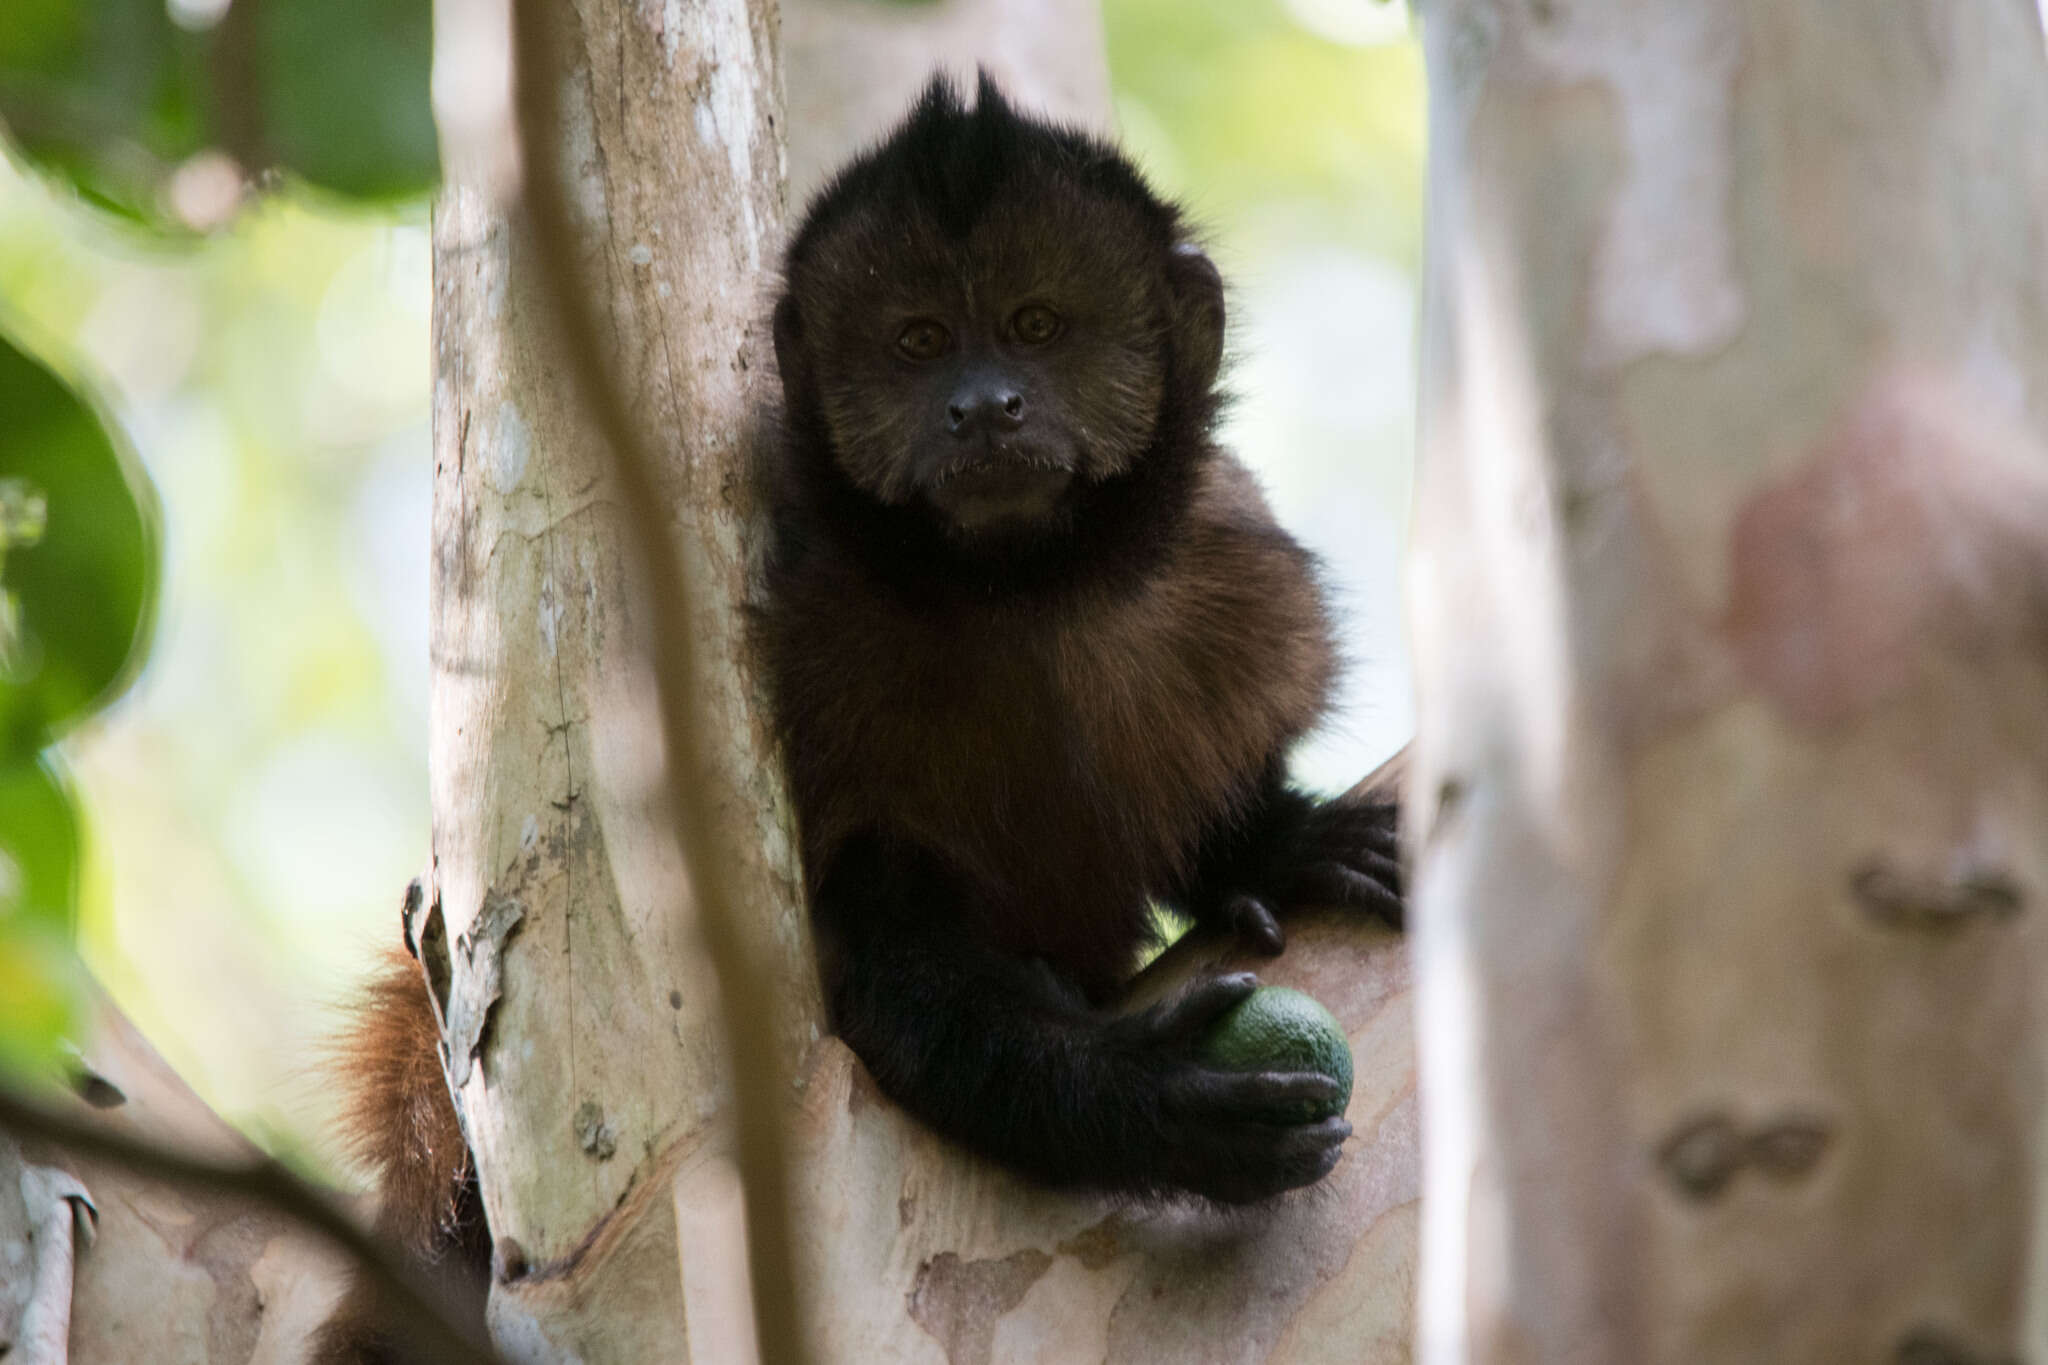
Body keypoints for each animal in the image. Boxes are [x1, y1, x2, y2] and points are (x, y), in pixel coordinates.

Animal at [315, 74, 1409, 1365]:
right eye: (919, 342)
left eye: (1036, 326)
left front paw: (1275, 844)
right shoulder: (809, 642)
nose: (983, 406)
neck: (1017, 594)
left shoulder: (1223, 565)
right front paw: (1146, 1099)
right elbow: (875, 957)